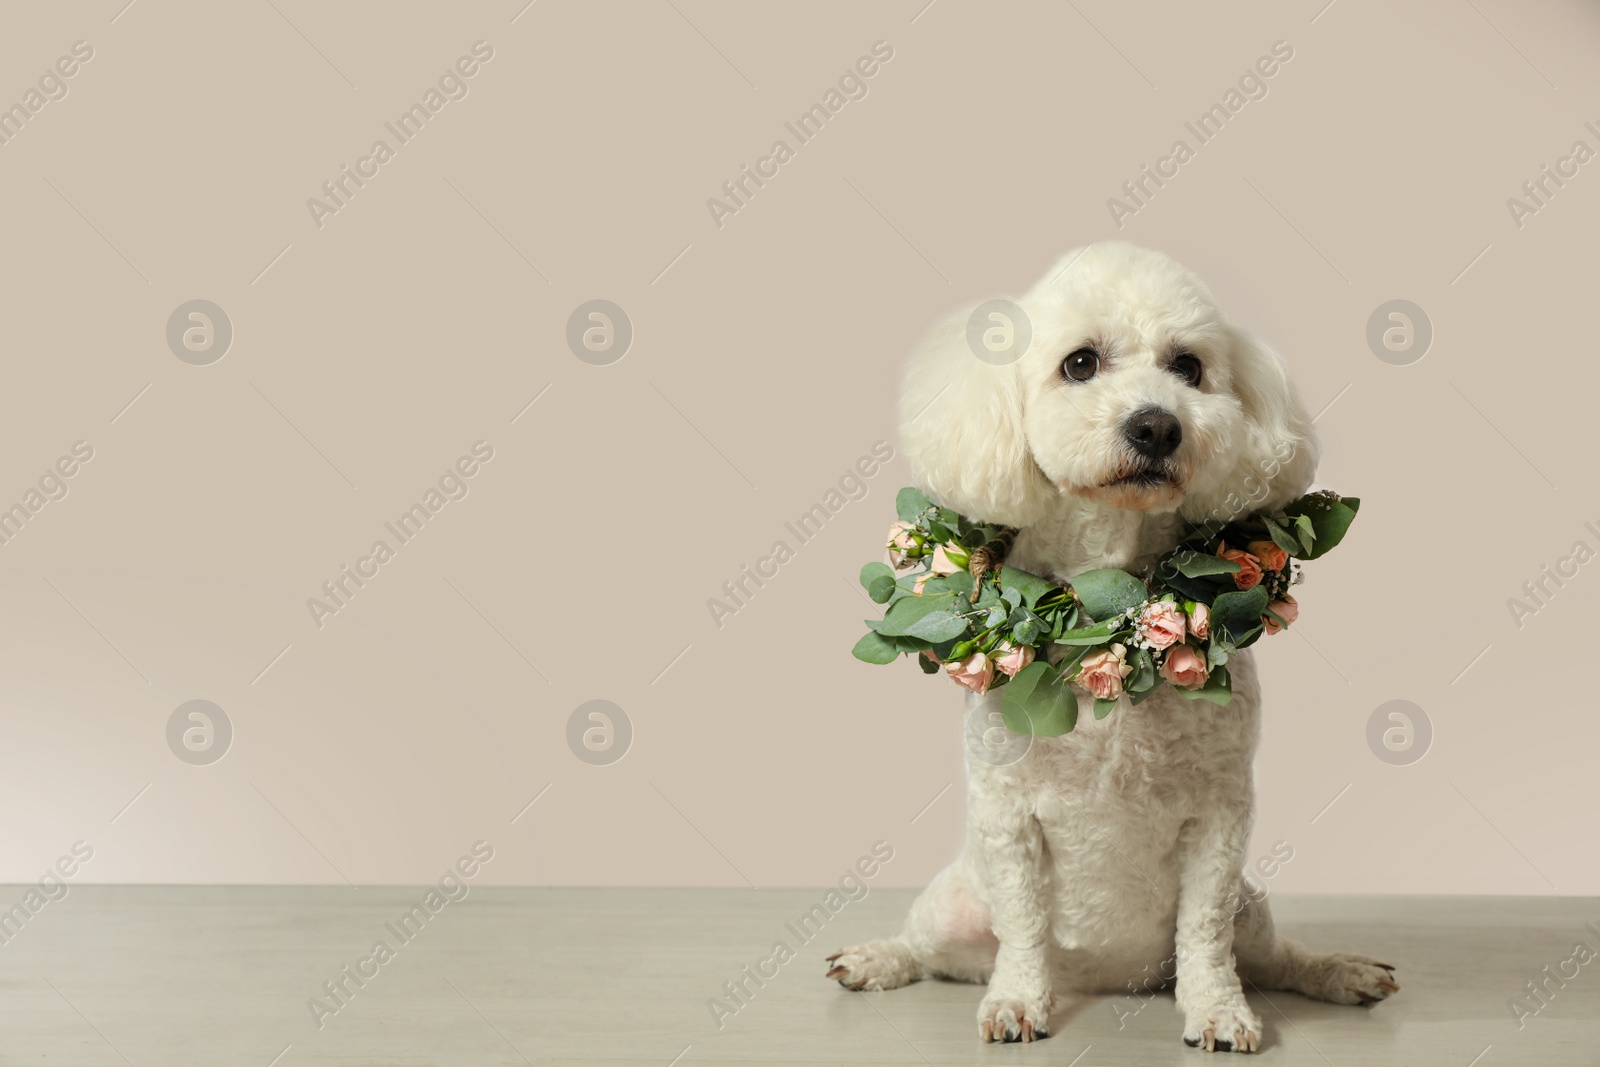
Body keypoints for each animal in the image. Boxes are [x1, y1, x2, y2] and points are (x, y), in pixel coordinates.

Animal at [825, 241, 1401, 1049]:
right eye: (1080, 363)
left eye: (1189, 366)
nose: (1157, 426)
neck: (1114, 600)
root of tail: (1106, 980)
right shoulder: (1007, 815)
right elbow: (1024, 924)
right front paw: (1017, 999)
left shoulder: (1221, 818)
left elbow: (1204, 935)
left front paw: (1216, 1009)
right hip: (955, 906)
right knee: (927, 946)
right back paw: (879, 957)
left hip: (1251, 905)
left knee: (1270, 955)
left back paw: (1336, 970)